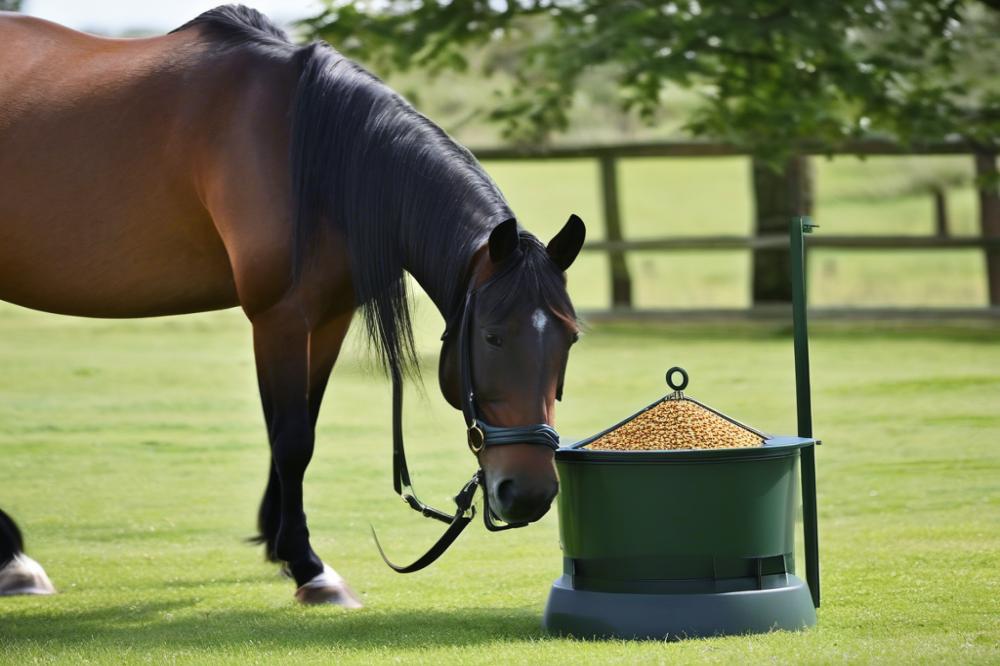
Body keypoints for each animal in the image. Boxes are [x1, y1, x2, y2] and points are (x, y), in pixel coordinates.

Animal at [0, 6, 584, 608]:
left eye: (570, 337)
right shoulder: (279, 317)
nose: (530, 493)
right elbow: (291, 439)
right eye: (492, 335)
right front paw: (310, 567)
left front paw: (281, 544)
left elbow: (303, 423)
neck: (313, 152)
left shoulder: (328, 317)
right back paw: (13, 561)